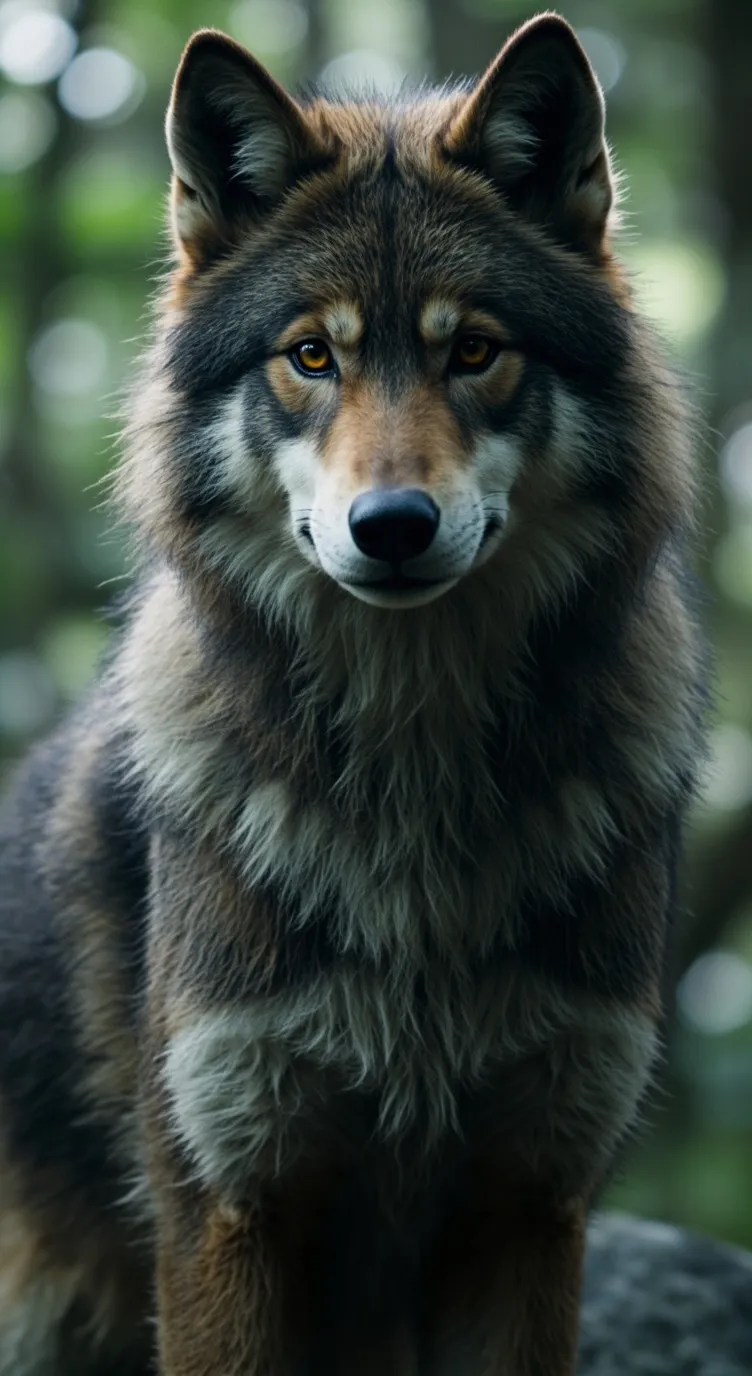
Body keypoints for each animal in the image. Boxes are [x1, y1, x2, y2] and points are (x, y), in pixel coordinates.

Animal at [0, 12, 706, 1375]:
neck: (412, 800)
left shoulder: (527, 1209)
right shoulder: (228, 1212)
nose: (390, 527)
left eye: (472, 350)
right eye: (311, 356)